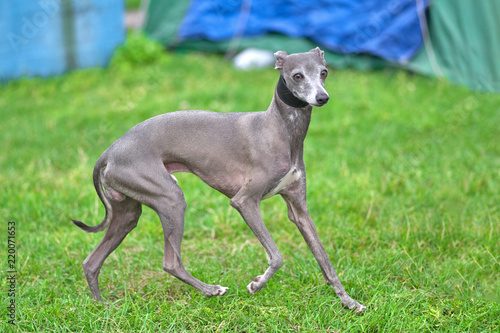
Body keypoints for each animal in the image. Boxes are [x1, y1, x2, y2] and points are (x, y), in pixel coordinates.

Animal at [72, 47, 366, 312]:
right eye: (297, 76)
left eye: (324, 72)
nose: (322, 97)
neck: (281, 130)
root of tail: (109, 152)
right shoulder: (245, 201)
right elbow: (277, 256)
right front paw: (257, 284)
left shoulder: (299, 209)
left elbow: (324, 260)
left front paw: (348, 301)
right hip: (170, 199)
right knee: (171, 262)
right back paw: (211, 290)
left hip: (127, 212)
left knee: (91, 262)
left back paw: (103, 306)